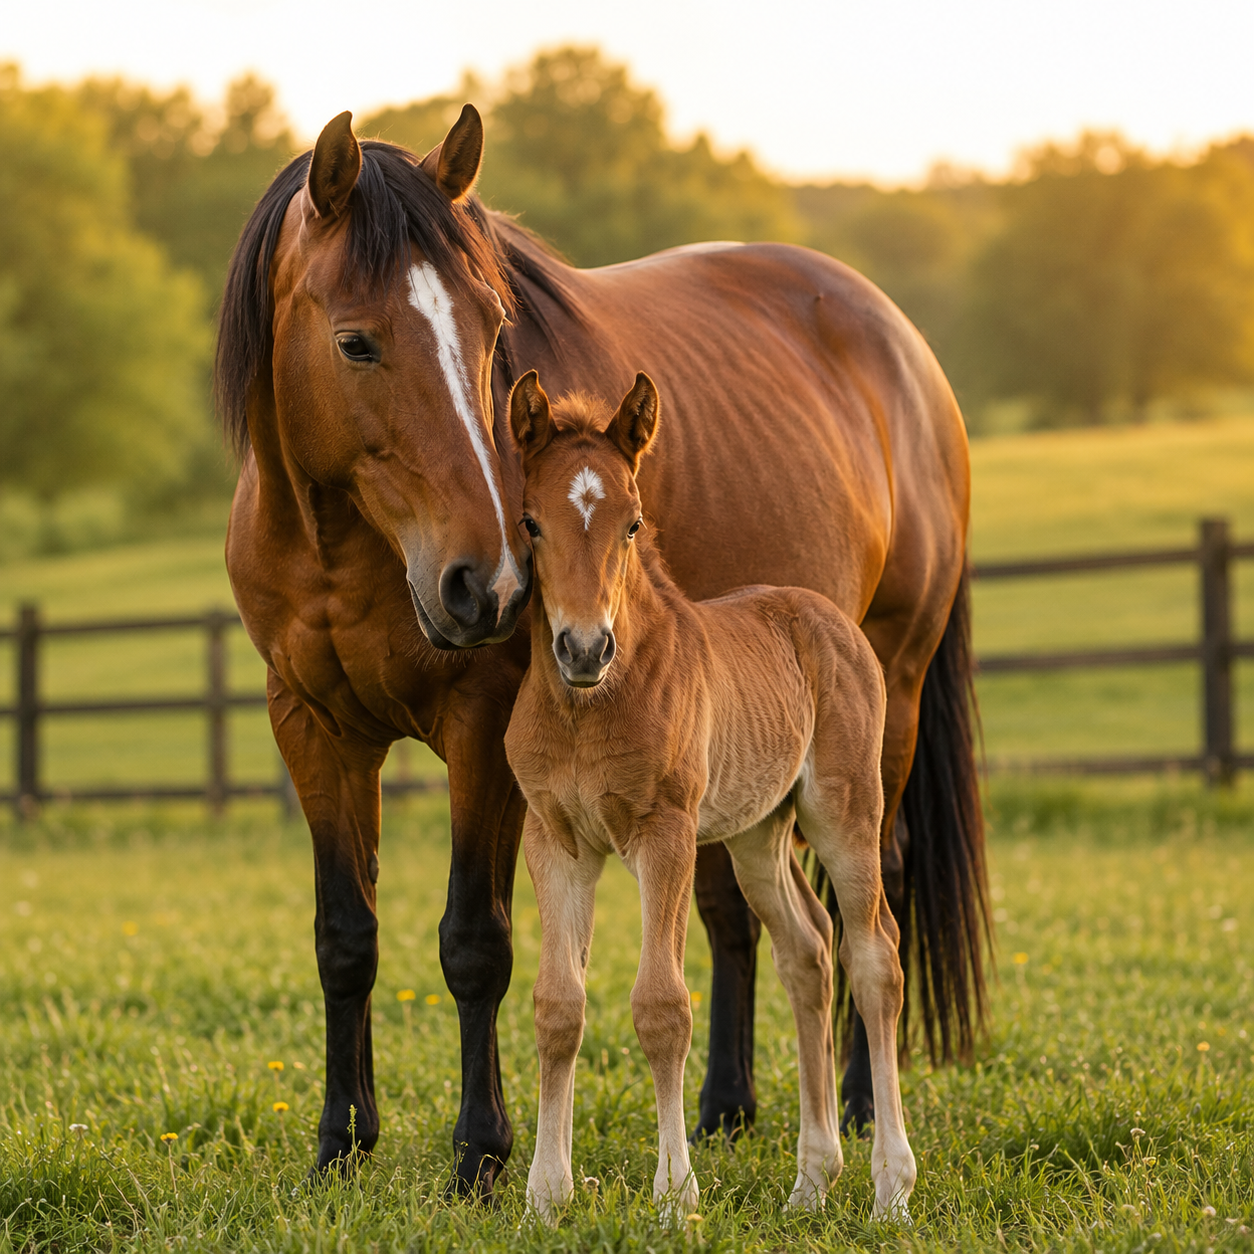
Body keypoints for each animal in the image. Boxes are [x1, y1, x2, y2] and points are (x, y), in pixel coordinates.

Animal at [504, 371, 916, 1221]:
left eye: (632, 523)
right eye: (531, 522)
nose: (583, 648)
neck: (588, 707)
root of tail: (825, 614)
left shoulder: (664, 833)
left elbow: (663, 1006)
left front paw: (676, 1197)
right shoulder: (556, 840)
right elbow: (558, 1005)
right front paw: (546, 1197)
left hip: (845, 811)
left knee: (874, 957)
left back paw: (891, 1185)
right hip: (759, 833)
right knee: (808, 951)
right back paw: (810, 1183)